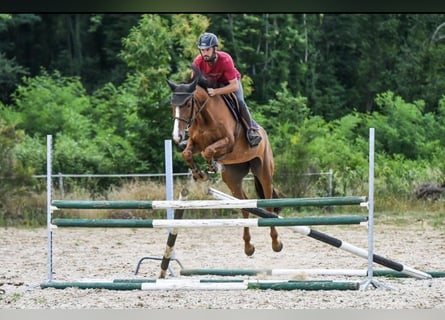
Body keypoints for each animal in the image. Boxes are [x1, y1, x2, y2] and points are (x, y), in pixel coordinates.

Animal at [165, 63, 282, 256]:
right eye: (172, 105)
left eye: (187, 104)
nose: (177, 136)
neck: (204, 117)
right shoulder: (195, 143)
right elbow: (188, 153)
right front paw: (199, 174)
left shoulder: (228, 142)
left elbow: (208, 151)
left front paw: (211, 166)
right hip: (232, 177)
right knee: (244, 206)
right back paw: (248, 247)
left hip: (264, 170)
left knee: (269, 205)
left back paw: (276, 243)